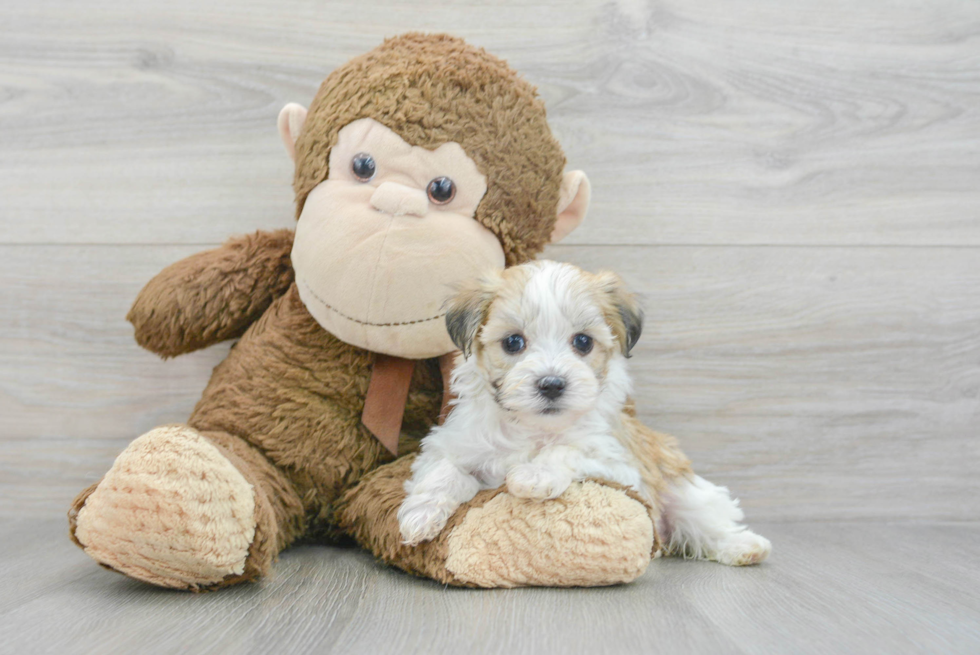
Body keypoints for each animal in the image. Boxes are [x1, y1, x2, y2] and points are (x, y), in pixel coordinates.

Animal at [394, 258, 768, 568]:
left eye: (583, 342)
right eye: (513, 342)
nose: (552, 384)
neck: (533, 428)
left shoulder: (617, 463)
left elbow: (568, 449)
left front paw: (535, 475)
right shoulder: (452, 443)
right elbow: (443, 470)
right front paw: (420, 516)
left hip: (681, 492)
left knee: (706, 519)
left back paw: (744, 546)